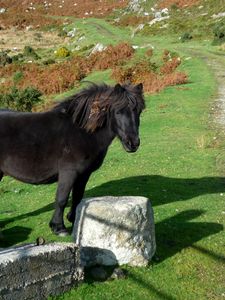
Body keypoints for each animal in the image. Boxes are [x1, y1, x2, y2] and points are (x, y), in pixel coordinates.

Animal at [0, 81, 144, 234]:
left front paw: (75, 219)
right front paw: (58, 227)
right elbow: (61, 198)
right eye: (118, 112)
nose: (133, 143)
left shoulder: (84, 174)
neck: (82, 132)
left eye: (138, 111)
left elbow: (77, 197)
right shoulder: (69, 172)